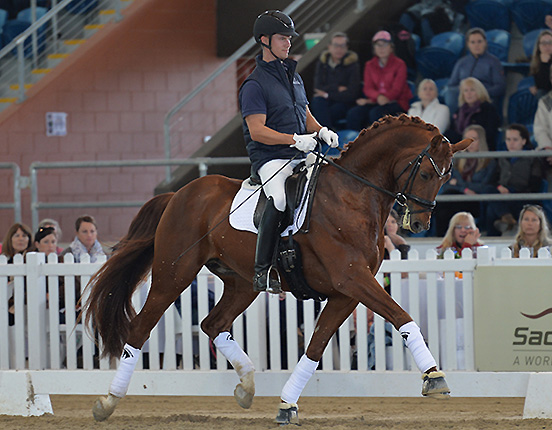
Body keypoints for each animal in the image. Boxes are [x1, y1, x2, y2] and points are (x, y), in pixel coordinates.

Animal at [85, 115, 470, 426]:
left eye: (447, 176)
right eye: (425, 173)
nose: (419, 224)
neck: (353, 194)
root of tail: (178, 194)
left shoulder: (346, 292)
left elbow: (315, 347)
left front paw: (287, 405)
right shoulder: (352, 278)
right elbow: (402, 316)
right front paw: (434, 376)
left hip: (242, 283)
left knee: (213, 324)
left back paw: (246, 385)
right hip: (173, 275)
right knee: (140, 329)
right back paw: (108, 401)